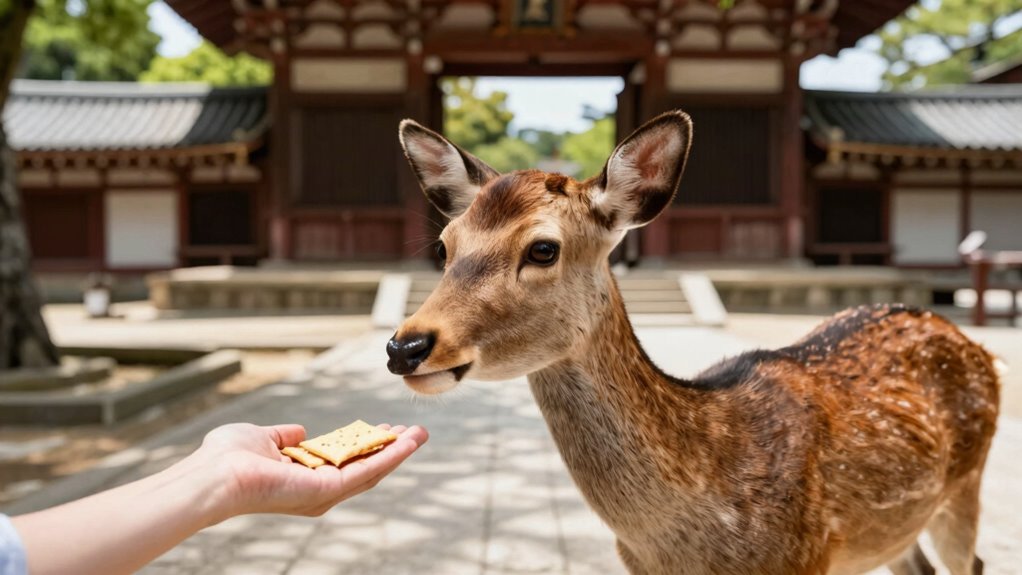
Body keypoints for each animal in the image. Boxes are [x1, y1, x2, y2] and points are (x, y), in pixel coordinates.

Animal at [385, 111, 1000, 575]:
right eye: (444, 246)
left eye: (542, 249)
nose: (404, 347)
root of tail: (975, 345)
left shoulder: (804, 556)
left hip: (966, 485)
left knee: (971, 561)